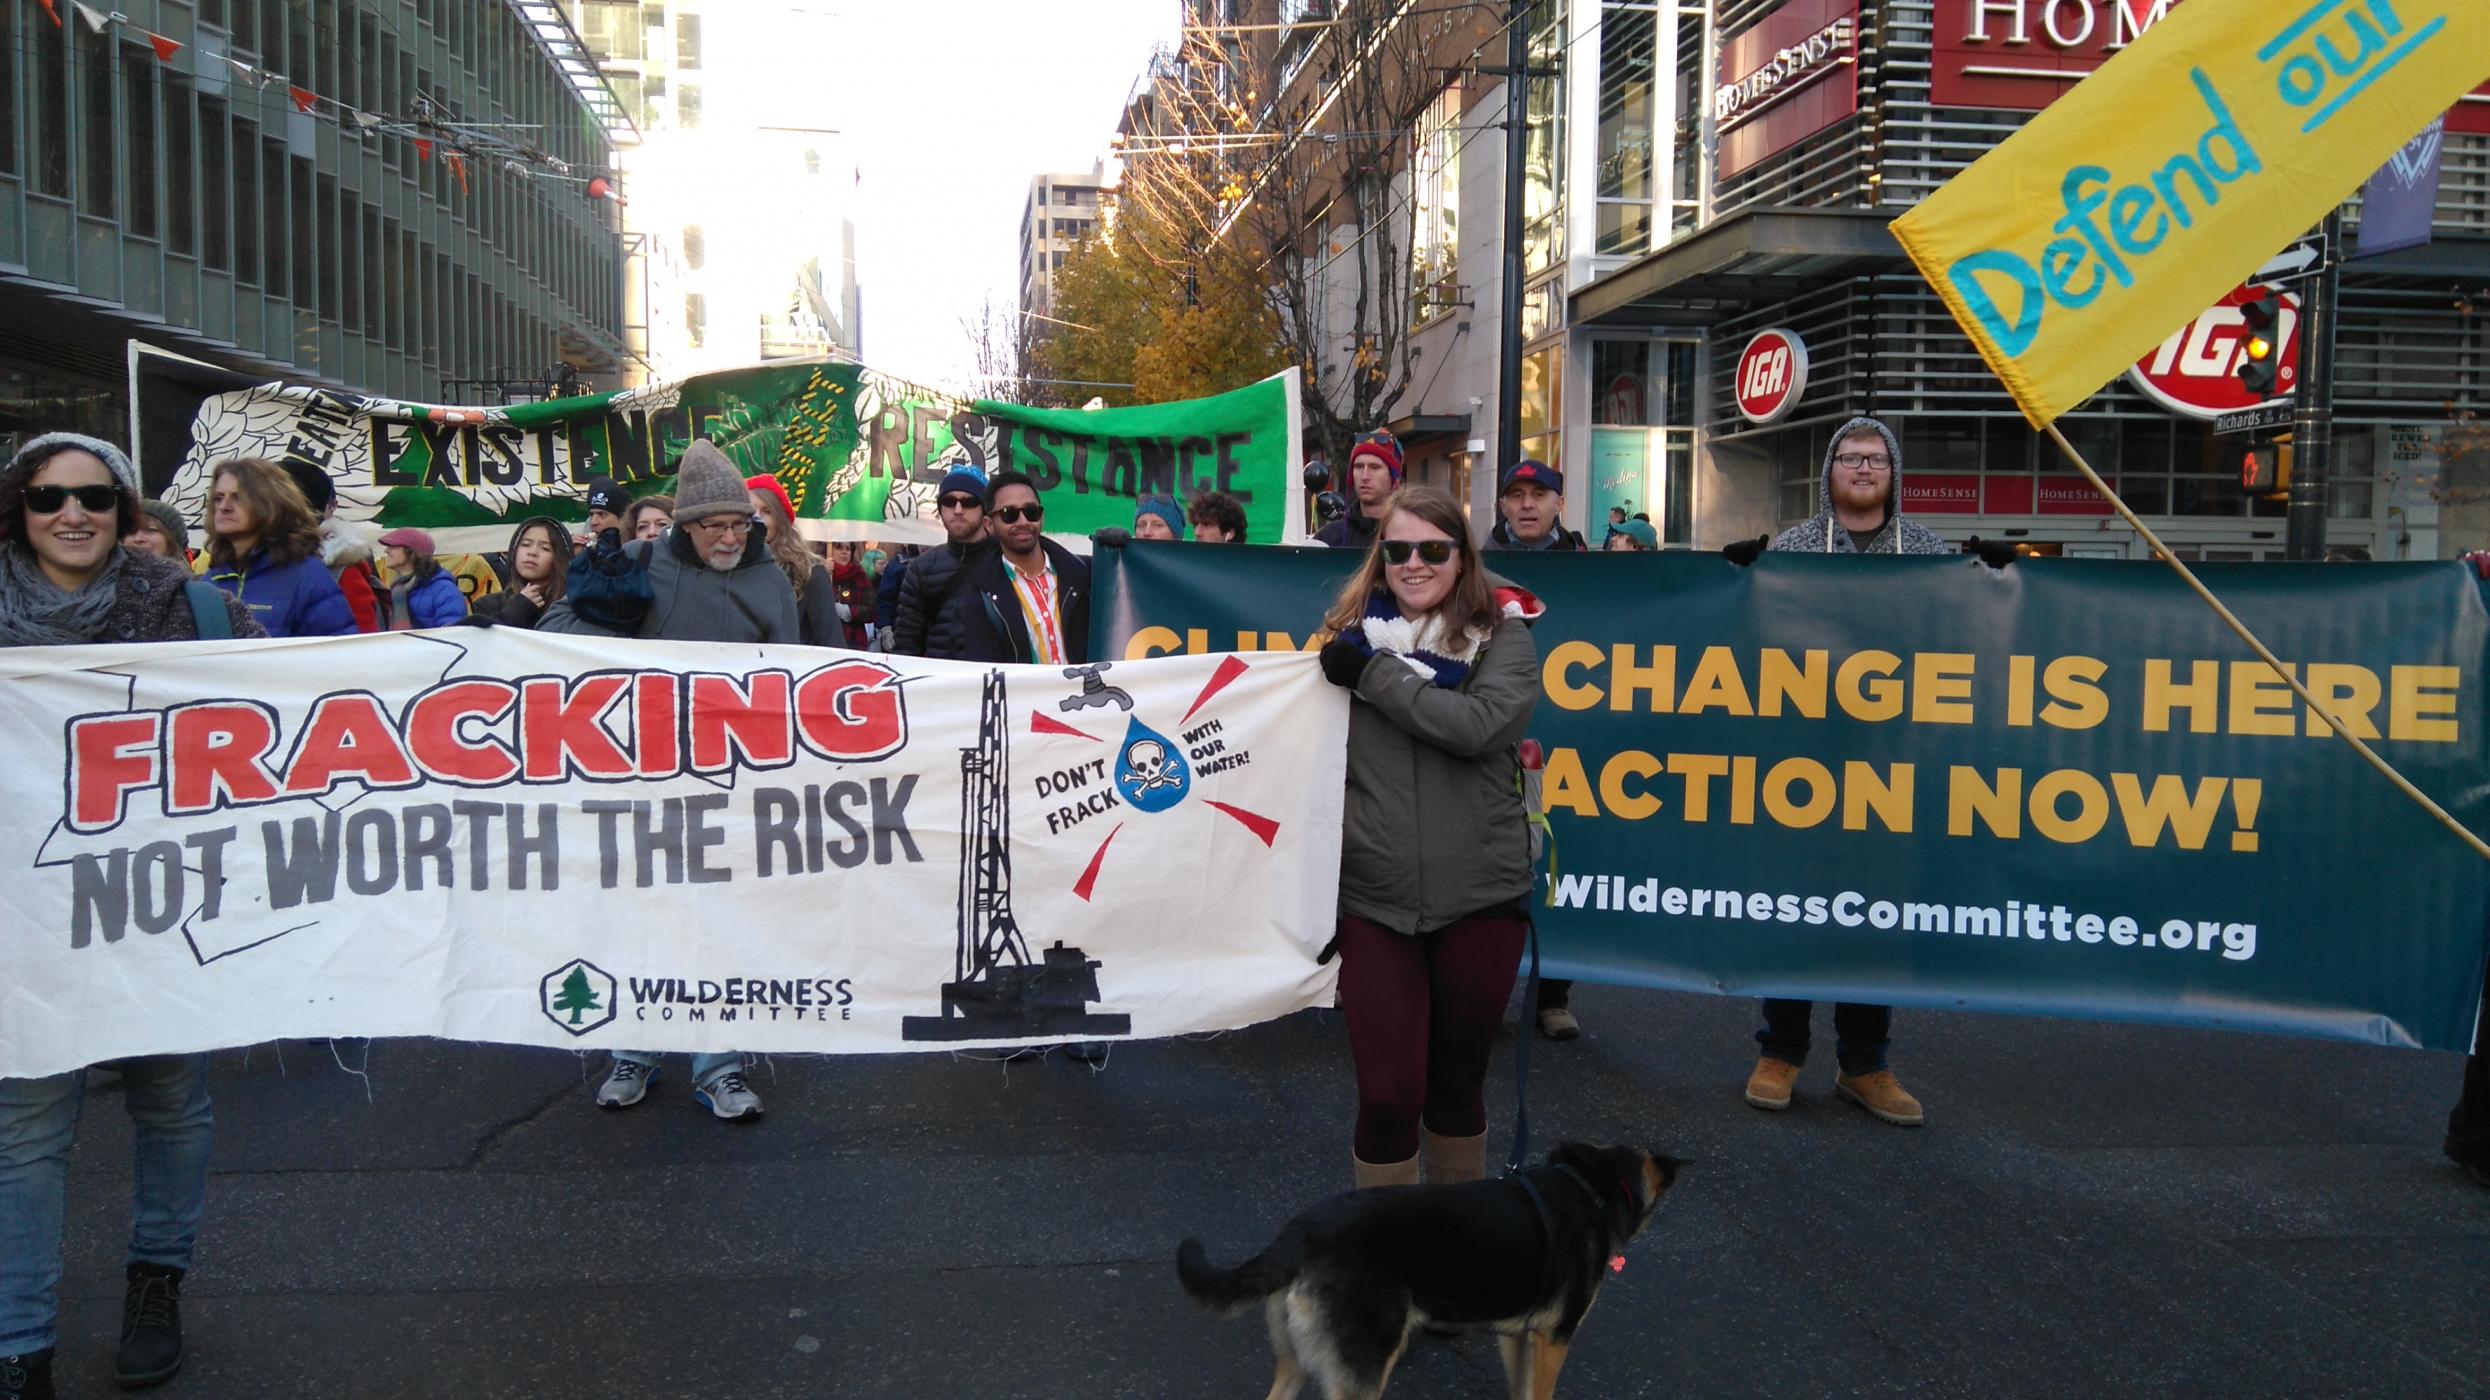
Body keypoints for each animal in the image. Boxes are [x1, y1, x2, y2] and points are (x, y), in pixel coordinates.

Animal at [1175, 1140, 1683, 1385]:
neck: (1589, 1185)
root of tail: (1298, 1233)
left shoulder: (1516, 1337)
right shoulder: (1553, 1339)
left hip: (1297, 1362)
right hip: (1361, 1369)